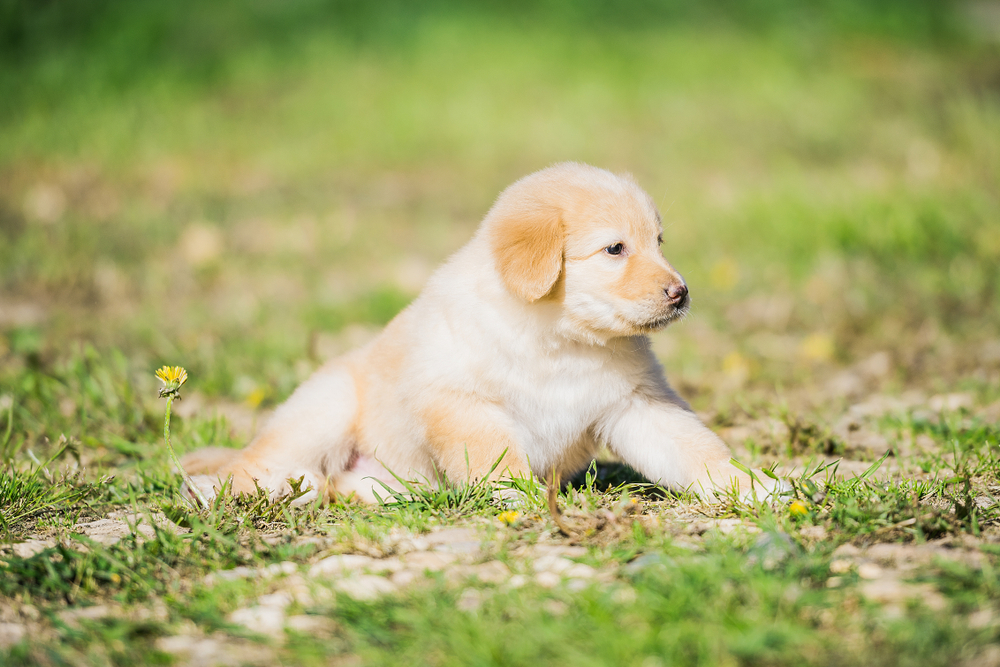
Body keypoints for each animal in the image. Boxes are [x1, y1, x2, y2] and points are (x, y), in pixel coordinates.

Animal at [186, 163, 780, 506]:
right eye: (615, 249)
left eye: (658, 242)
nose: (681, 293)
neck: (559, 342)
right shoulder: (460, 402)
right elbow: (497, 458)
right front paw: (522, 501)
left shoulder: (639, 406)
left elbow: (699, 454)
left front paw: (759, 488)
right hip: (322, 410)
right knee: (253, 465)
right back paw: (223, 489)